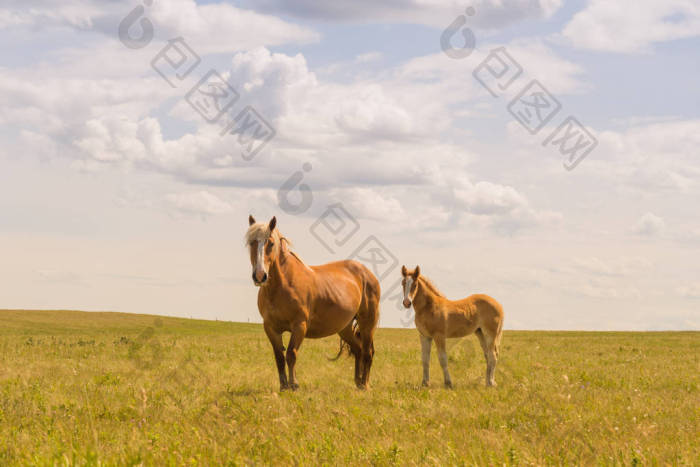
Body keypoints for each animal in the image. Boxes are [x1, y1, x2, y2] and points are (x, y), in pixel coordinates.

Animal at [245, 215, 381, 390]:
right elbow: (279, 357)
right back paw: (357, 382)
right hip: (344, 327)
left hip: (367, 322)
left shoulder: (299, 325)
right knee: (357, 349)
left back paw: (365, 384)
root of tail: (367, 273)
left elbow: (291, 354)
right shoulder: (270, 327)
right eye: (251, 242)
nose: (260, 275)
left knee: (367, 352)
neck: (283, 285)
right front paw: (283, 386)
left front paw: (294, 385)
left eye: (271, 243)